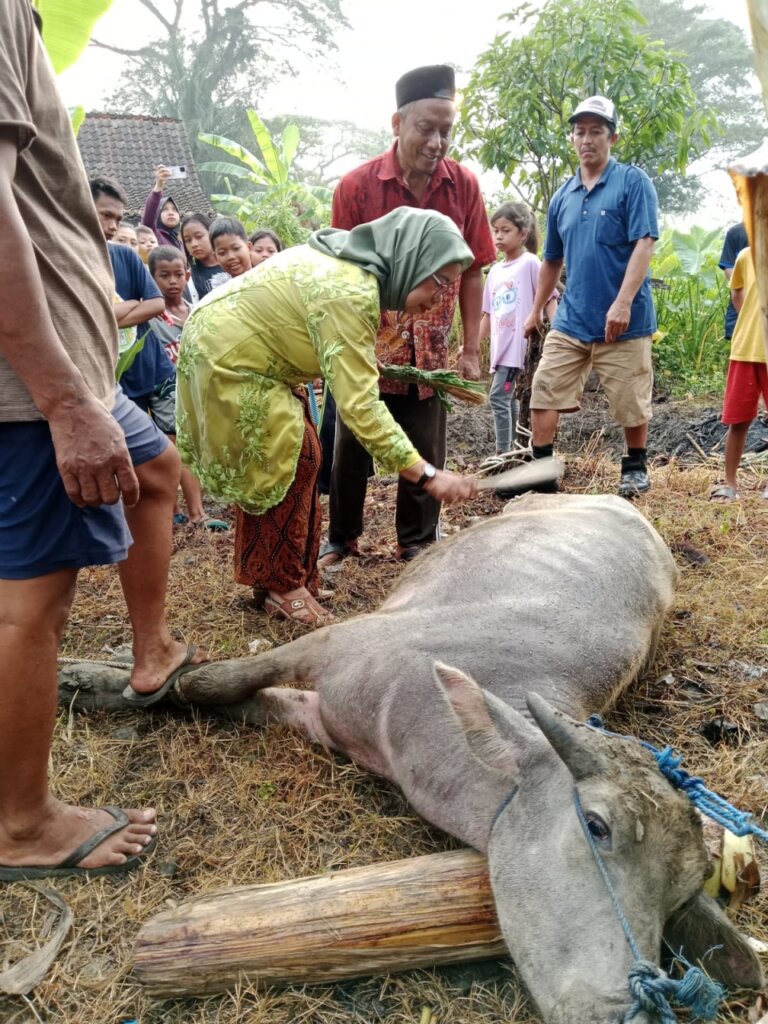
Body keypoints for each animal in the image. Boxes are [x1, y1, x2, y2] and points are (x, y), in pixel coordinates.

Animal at [176, 491, 765, 1019]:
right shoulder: (331, 644)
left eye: (681, 897)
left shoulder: (325, 718)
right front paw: (166, 684)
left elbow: (254, 703)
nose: (630, 1005)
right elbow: (219, 682)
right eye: (597, 826)